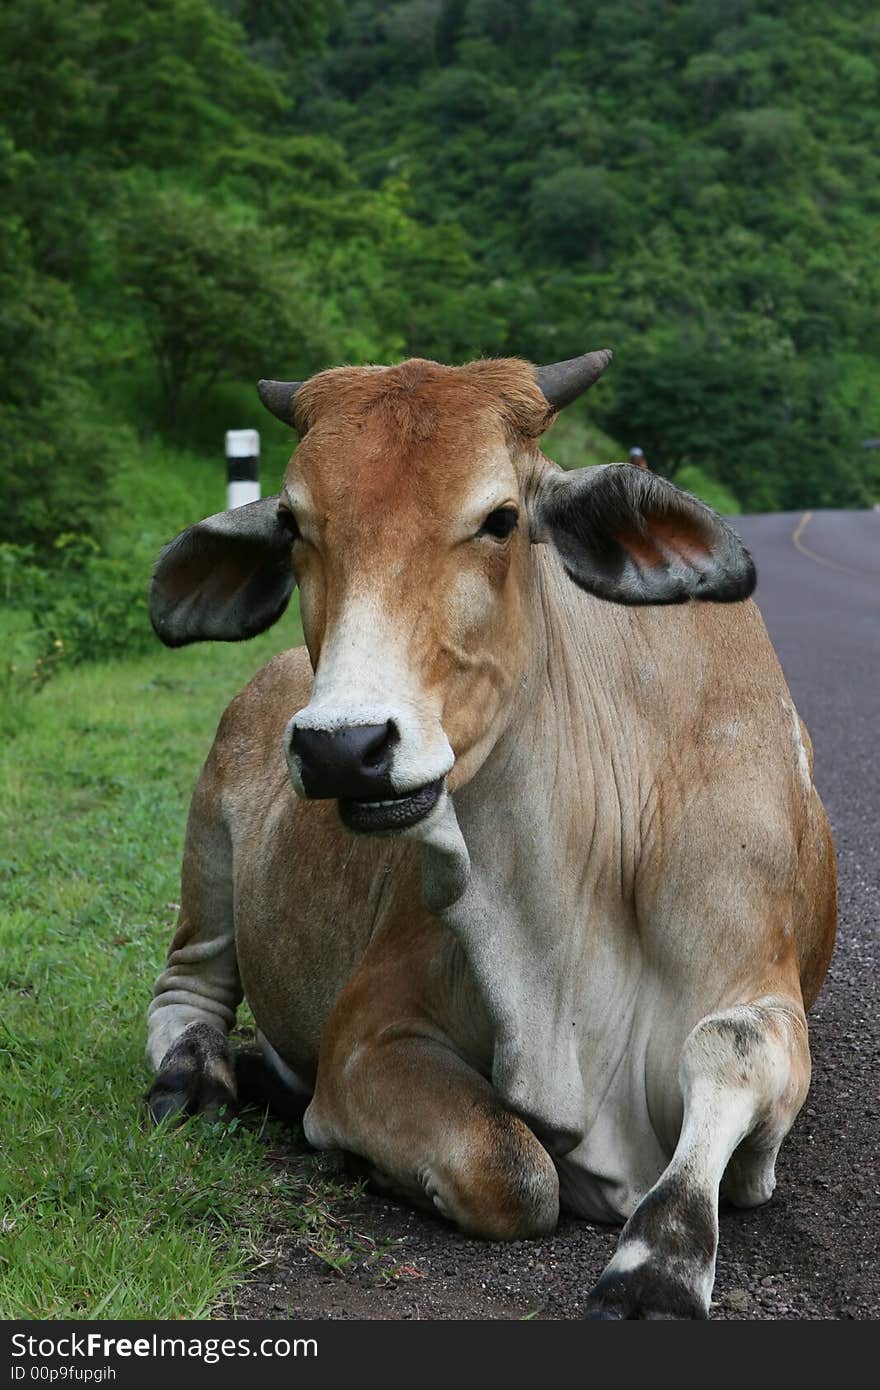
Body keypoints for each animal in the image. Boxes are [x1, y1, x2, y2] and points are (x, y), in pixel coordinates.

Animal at [147, 353, 834, 1317]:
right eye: (292, 523)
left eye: (501, 519)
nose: (342, 748)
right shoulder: (370, 1034)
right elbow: (515, 1168)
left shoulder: (760, 981)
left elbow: (730, 1051)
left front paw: (656, 1262)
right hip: (209, 844)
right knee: (188, 990)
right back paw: (199, 1075)